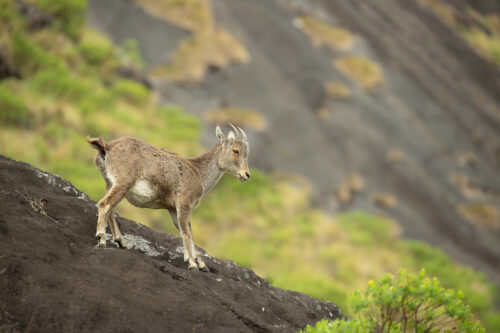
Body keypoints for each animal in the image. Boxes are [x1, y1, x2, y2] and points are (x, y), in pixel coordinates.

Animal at [87, 124, 250, 270]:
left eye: (246, 152)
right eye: (236, 150)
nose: (246, 174)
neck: (198, 172)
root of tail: (107, 147)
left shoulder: (172, 208)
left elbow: (187, 232)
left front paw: (201, 264)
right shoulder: (184, 203)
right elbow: (186, 232)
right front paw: (192, 263)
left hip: (110, 183)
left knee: (110, 208)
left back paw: (120, 241)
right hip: (123, 183)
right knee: (104, 204)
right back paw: (101, 238)